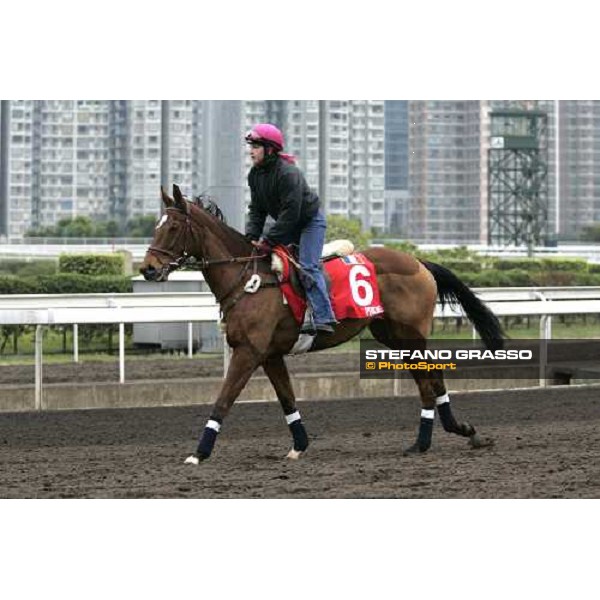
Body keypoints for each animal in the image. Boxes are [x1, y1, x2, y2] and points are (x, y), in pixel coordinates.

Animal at [141, 185, 502, 466]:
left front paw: (199, 453)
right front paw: (298, 446)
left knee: (430, 377)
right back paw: (444, 436)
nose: (148, 269)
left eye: (173, 227)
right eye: (157, 226)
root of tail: (419, 262)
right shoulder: (270, 354)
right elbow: (287, 399)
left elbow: (223, 400)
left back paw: (437, 437)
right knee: (429, 378)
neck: (247, 279)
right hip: (392, 335)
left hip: (410, 335)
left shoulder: (248, 351)